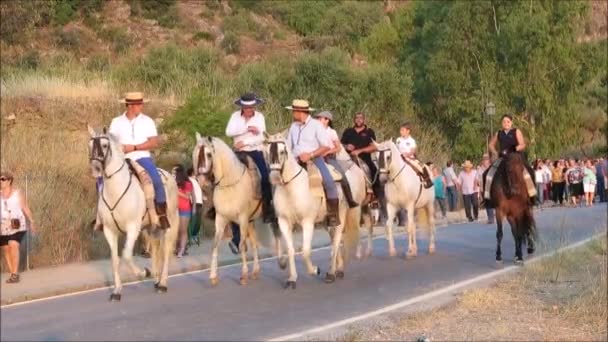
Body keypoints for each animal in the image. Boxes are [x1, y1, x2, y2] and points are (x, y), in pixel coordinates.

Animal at [87, 126, 178, 302]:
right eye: (90, 145)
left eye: (105, 145)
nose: (95, 169)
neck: (116, 190)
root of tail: (170, 176)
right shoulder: (109, 231)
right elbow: (115, 260)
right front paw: (116, 292)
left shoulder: (133, 228)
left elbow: (127, 256)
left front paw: (143, 272)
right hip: (152, 227)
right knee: (155, 249)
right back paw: (156, 280)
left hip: (169, 224)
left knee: (166, 251)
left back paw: (162, 284)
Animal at [192, 134, 280, 286]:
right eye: (197, 154)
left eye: (209, 154)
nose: (202, 180)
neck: (229, 183)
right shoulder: (221, 219)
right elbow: (215, 245)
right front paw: (213, 276)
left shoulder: (242, 218)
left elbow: (242, 245)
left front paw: (243, 275)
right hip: (251, 222)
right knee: (255, 244)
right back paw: (255, 271)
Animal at [264, 132, 360, 288]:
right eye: (266, 152)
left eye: (282, 151)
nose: (274, 178)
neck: (291, 189)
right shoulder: (284, 222)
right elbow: (290, 250)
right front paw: (292, 279)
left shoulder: (307, 222)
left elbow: (305, 251)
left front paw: (315, 270)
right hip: (328, 221)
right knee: (333, 239)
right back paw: (338, 269)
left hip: (341, 215)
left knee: (336, 241)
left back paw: (331, 273)